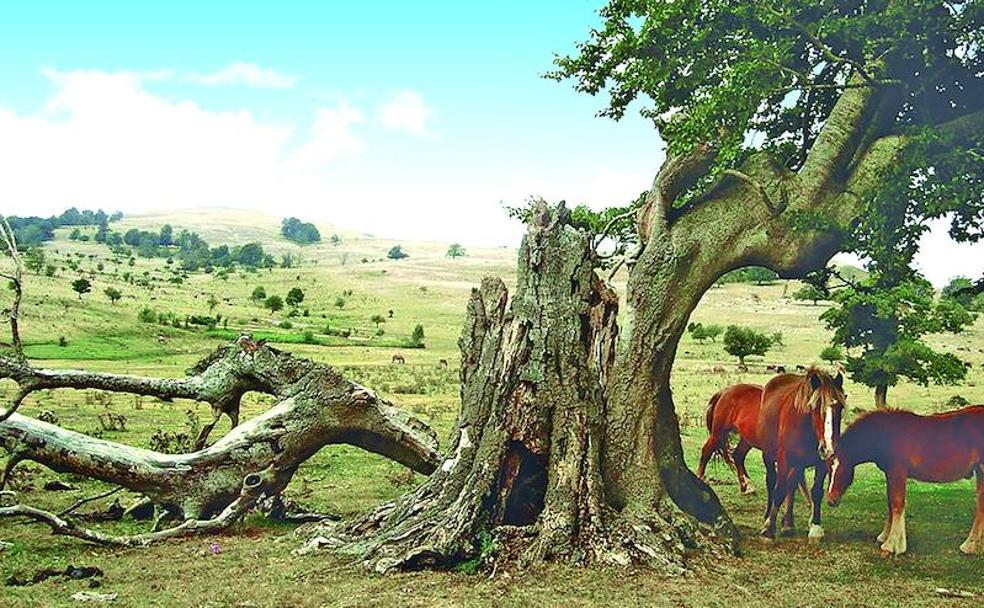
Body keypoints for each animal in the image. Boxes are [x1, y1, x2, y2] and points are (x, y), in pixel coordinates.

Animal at [757, 368, 846, 541]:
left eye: (840, 408)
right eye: (816, 406)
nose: (829, 447)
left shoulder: (821, 462)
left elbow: (816, 492)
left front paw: (816, 527)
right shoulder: (784, 459)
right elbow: (779, 490)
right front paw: (769, 529)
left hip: (798, 465)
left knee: (791, 485)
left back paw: (788, 523)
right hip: (769, 456)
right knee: (772, 481)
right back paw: (768, 516)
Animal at [827, 406, 984, 555]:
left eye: (843, 469)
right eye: (829, 470)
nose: (830, 501)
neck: (884, 435)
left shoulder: (898, 473)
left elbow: (897, 504)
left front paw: (893, 545)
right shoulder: (889, 474)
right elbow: (890, 504)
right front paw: (885, 536)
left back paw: (969, 546)